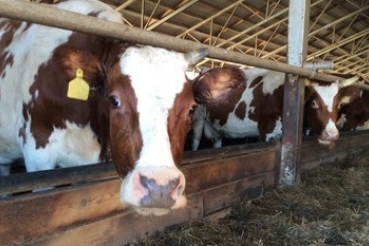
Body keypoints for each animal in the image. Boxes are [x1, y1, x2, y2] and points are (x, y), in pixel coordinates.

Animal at [190, 66, 360, 150]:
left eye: (339, 105)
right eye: (313, 103)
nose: (331, 134)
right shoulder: (267, 133)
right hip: (197, 121)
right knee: (195, 142)